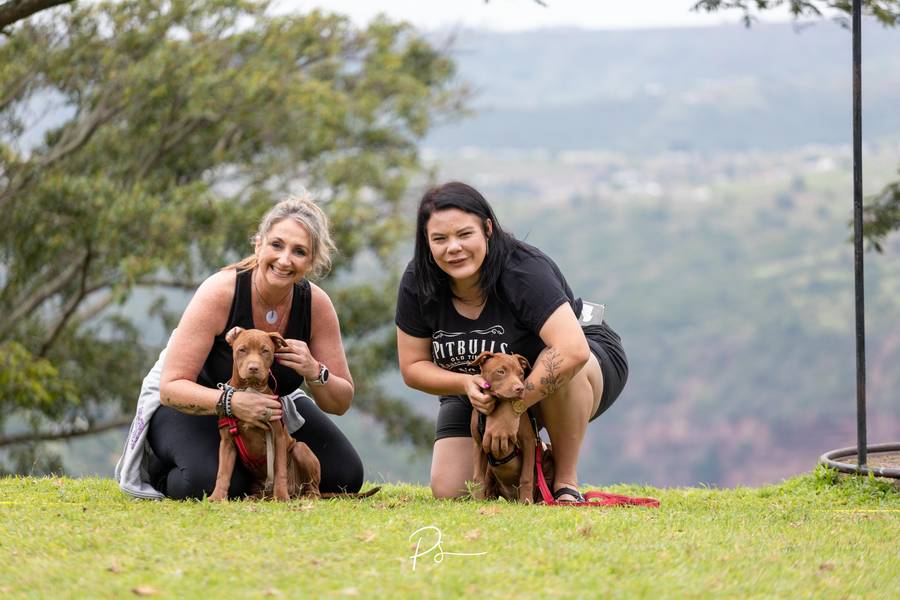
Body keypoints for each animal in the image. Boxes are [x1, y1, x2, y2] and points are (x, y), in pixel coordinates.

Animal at [209, 327, 321, 501]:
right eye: (242, 350)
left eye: (265, 351)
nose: (253, 368)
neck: (250, 390)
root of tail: (295, 491)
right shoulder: (227, 442)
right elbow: (223, 473)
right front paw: (216, 497)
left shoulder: (278, 437)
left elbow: (280, 470)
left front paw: (281, 496)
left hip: (301, 449)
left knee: (314, 488)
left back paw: (305, 497)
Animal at [469, 351, 555, 503]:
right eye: (500, 372)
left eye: (521, 373)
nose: (520, 388)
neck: (496, 406)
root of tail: (510, 498)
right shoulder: (479, 444)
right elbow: (478, 477)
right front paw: (477, 500)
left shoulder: (528, 442)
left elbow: (526, 477)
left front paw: (526, 501)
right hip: (491, 471)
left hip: (547, 456)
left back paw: (542, 501)